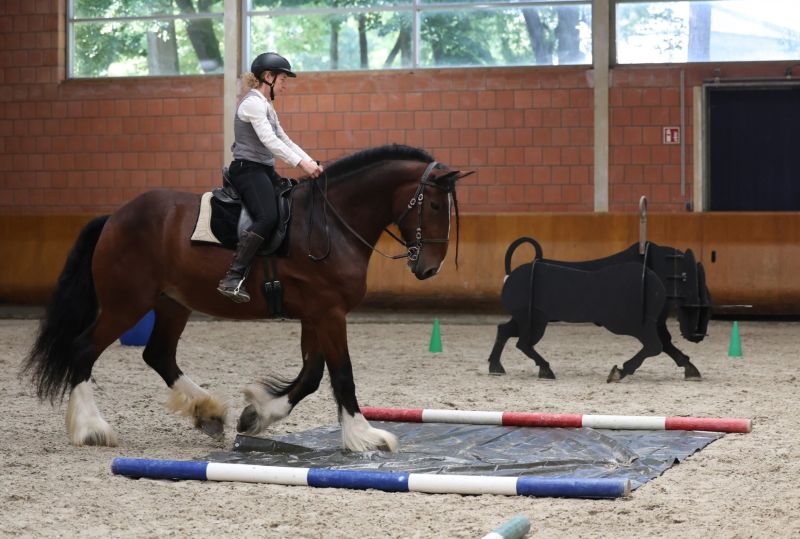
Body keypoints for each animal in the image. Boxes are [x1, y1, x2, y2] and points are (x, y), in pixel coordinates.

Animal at [23, 144, 473, 451]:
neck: (331, 224)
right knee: (84, 350)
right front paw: (365, 436)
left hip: (172, 303)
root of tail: (114, 217)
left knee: (158, 354)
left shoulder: (316, 314)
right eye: (434, 204)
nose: (429, 268)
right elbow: (341, 374)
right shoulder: (329, 313)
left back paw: (208, 412)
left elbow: (311, 375)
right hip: (126, 303)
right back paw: (91, 429)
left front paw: (257, 415)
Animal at [487, 237, 712, 382]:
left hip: (529, 320)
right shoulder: (635, 325)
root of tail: (511, 274)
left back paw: (496, 366)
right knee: (523, 343)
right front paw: (620, 371)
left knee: (505, 331)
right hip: (536, 322)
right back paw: (544, 369)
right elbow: (655, 346)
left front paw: (690, 368)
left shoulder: (653, 323)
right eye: (696, 304)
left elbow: (664, 344)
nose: (697, 336)